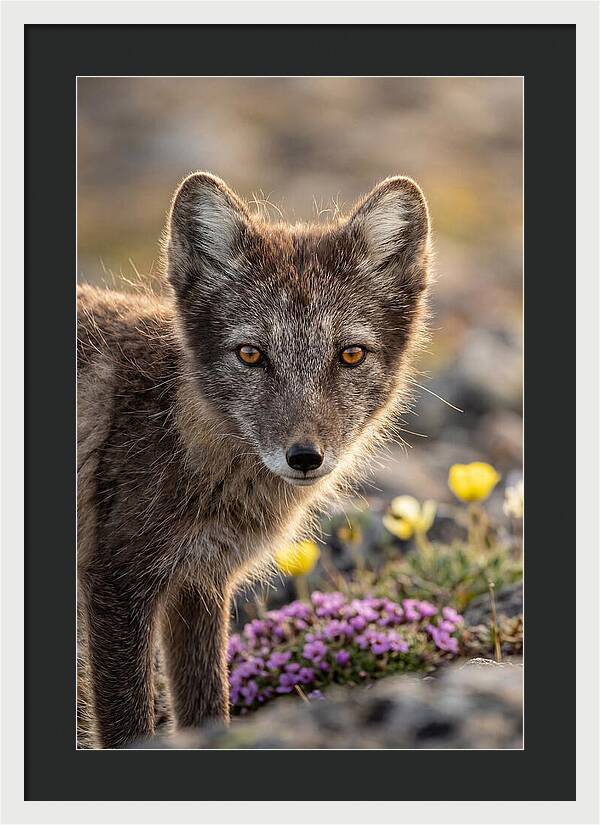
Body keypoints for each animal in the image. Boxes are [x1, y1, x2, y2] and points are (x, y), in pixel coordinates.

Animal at [77, 172, 431, 748]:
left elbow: (207, 709)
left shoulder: (199, 584)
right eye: (250, 354)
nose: (305, 457)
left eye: (350, 355)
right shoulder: (116, 582)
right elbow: (129, 725)